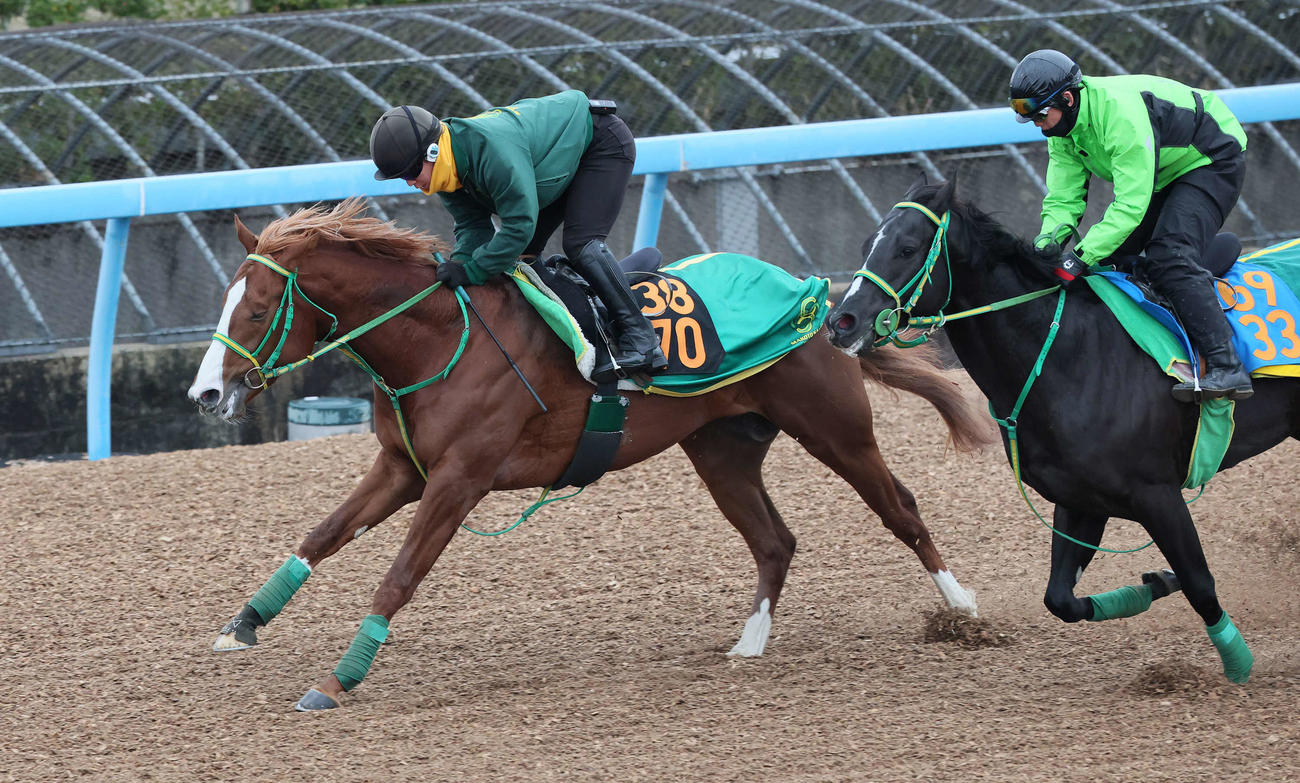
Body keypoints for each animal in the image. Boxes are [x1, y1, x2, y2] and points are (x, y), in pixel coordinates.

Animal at [187, 198, 993, 711]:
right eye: (222, 303)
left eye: (254, 310)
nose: (204, 394)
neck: (439, 337)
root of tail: (818, 295)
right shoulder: (402, 466)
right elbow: (321, 534)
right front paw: (243, 624)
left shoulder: (459, 478)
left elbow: (398, 577)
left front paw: (337, 680)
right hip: (722, 449)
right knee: (775, 539)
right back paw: (751, 641)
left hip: (835, 428)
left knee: (900, 507)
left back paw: (964, 612)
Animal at [823, 176, 1297, 683]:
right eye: (866, 245)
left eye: (907, 248)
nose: (841, 322)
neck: (1070, 353)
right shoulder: (1080, 499)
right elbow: (1062, 599)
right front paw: (1155, 583)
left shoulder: (1157, 494)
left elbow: (1200, 583)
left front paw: (1238, 663)